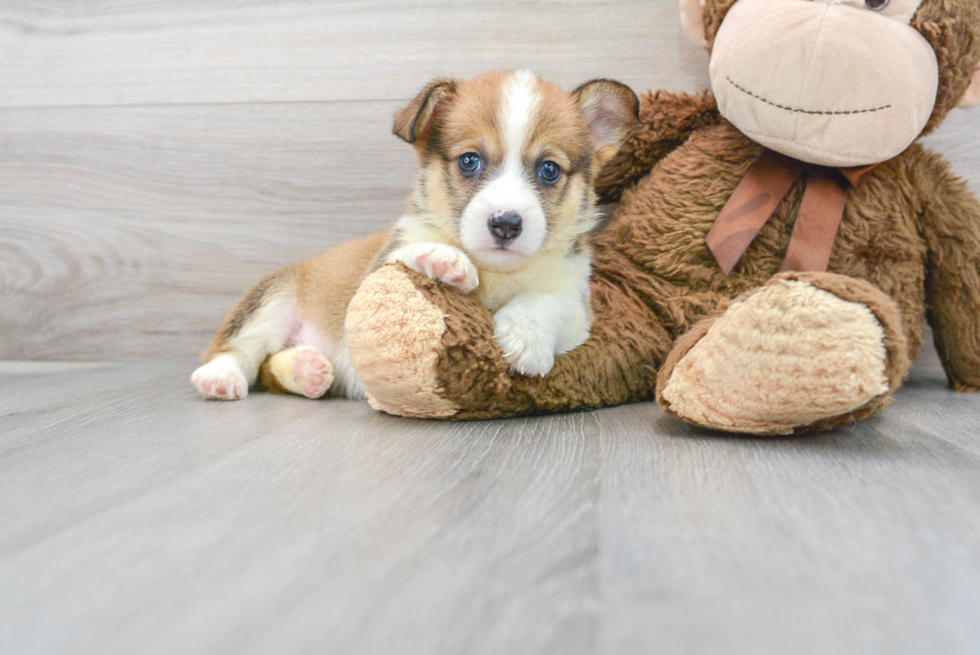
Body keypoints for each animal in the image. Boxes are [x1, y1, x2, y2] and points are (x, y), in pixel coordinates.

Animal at [193, 70, 636, 400]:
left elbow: (543, 302)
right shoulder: (376, 273)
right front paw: (443, 258)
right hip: (272, 302)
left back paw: (306, 369)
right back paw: (222, 377)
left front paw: (524, 337)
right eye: (469, 161)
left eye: (549, 170)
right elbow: (406, 253)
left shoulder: (575, 306)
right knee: (237, 351)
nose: (506, 224)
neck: (496, 274)